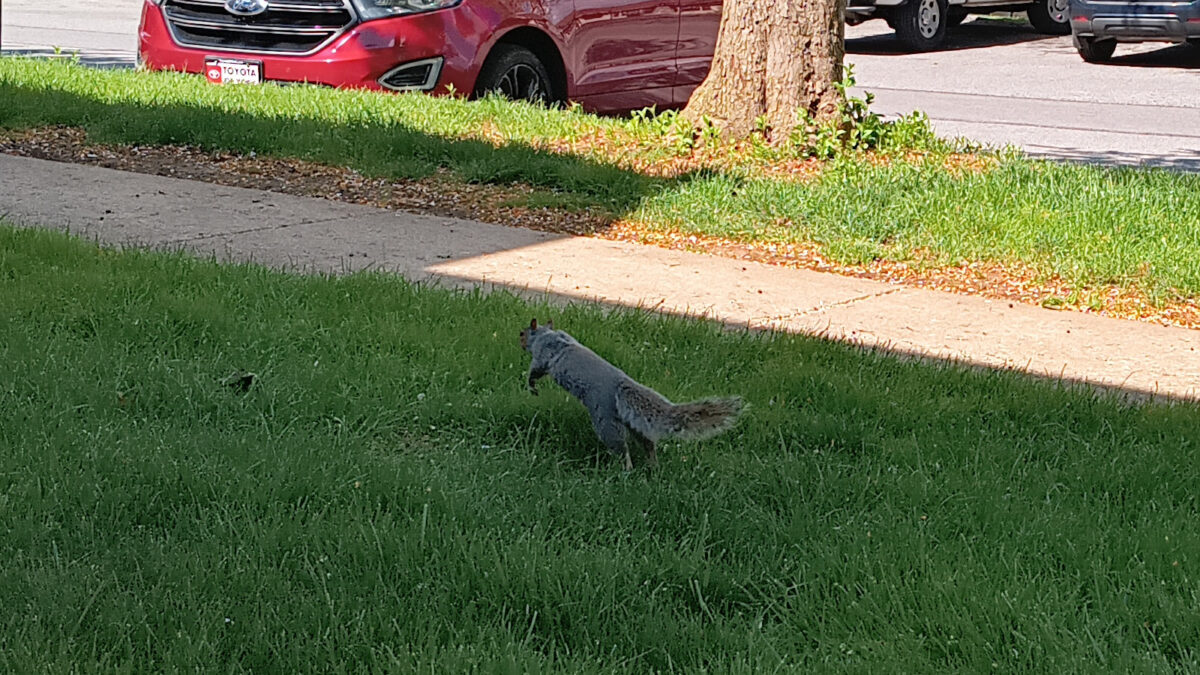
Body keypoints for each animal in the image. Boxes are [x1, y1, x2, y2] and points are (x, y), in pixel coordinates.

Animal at [520, 318, 744, 469]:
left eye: (523, 333)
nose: (518, 340)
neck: (547, 334)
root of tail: (621, 385)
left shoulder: (543, 355)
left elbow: (535, 370)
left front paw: (532, 386)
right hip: (632, 423)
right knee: (647, 442)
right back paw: (653, 465)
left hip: (606, 422)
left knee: (621, 448)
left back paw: (626, 470)